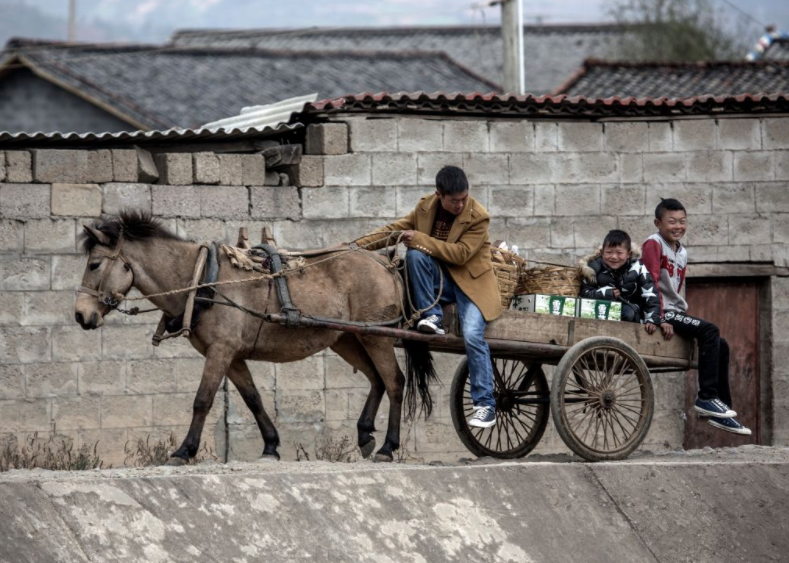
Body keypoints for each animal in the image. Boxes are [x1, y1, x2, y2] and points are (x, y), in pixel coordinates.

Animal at [74, 210, 433, 463]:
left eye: (94, 265)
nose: (80, 315)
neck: (202, 279)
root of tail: (385, 261)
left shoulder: (221, 351)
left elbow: (202, 400)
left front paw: (184, 451)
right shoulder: (231, 355)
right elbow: (253, 399)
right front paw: (271, 446)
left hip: (377, 337)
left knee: (394, 382)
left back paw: (387, 446)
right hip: (348, 337)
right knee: (376, 379)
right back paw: (365, 435)